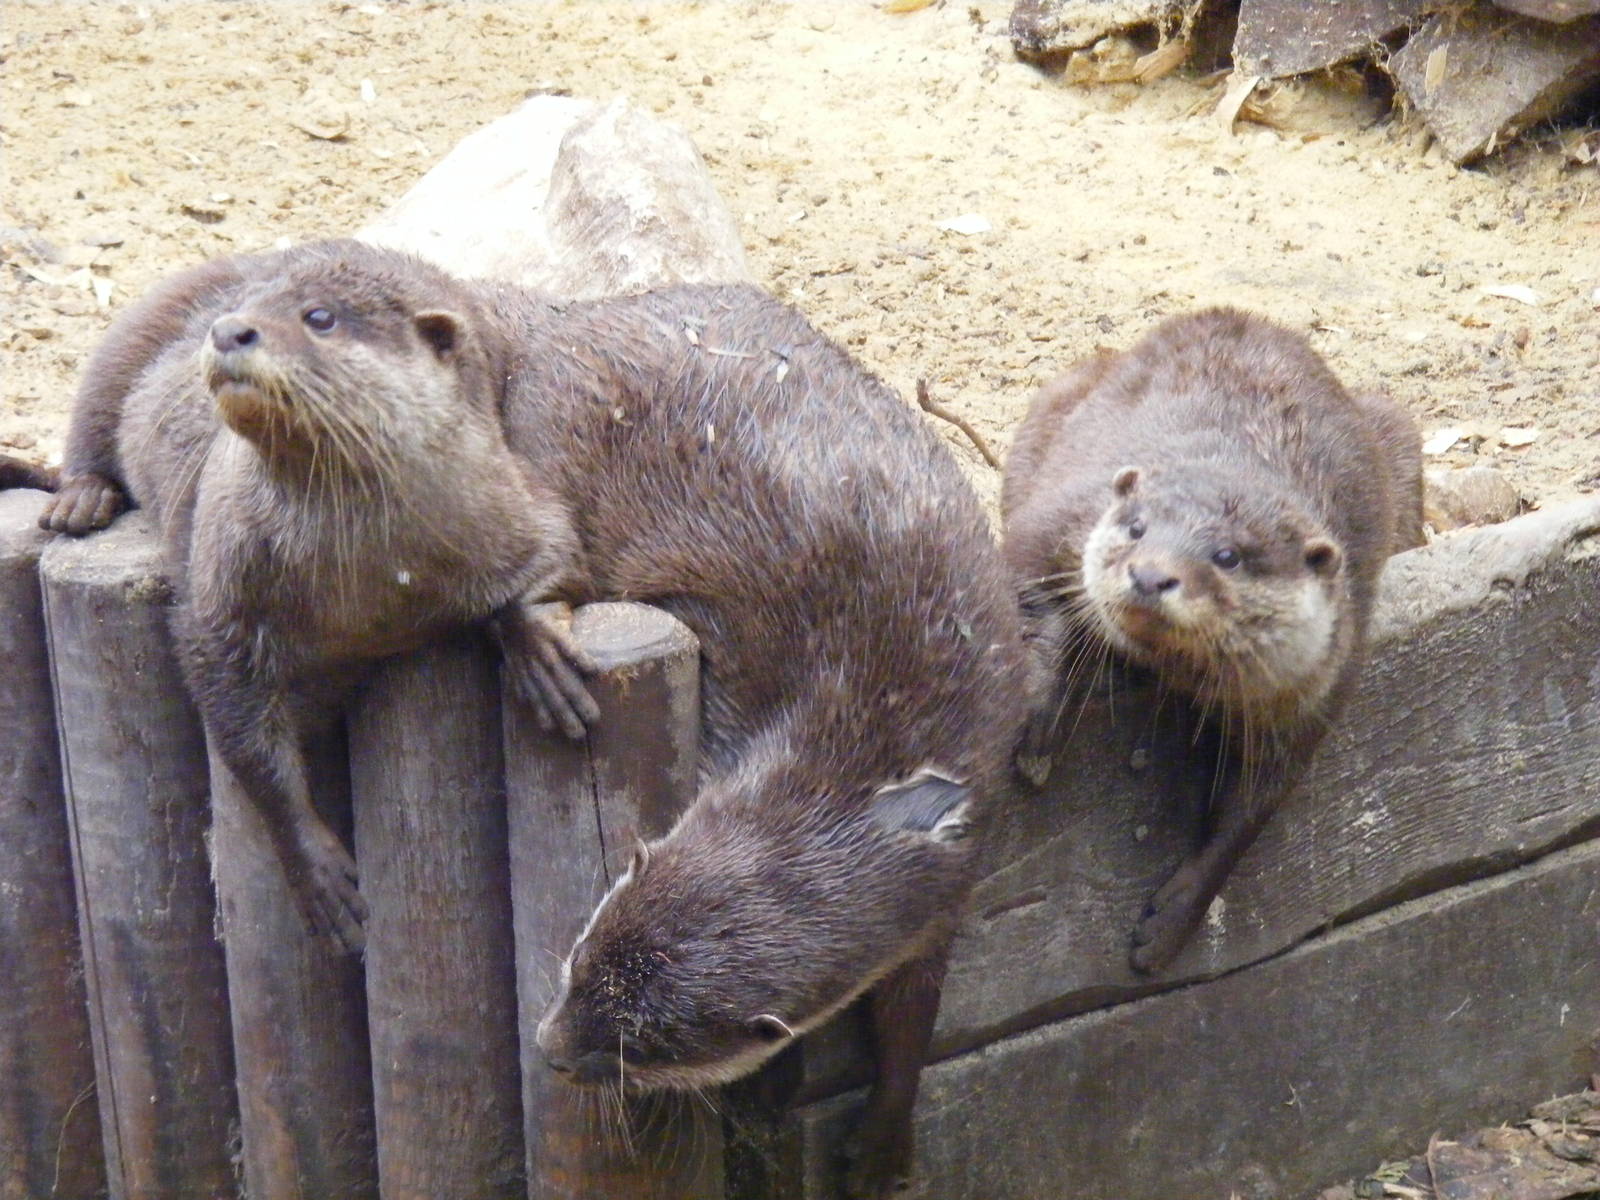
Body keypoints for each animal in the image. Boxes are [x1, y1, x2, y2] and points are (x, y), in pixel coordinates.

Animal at [41, 240, 599, 952]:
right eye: (247, 308)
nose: (229, 329)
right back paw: (80, 499)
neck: (370, 581)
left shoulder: (518, 500)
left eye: (320, 318)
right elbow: (240, 730)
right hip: (133, 333)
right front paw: (313, 867)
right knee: (92, 416)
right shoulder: (219, 592)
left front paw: (542, 657)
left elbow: (557, 551)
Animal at [496, 283, 1025, 1198]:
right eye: (579, 962)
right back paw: (543, 653)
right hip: (555, 436)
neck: (869, 777)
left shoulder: (945, 882)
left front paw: (882, 1146)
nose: (550, 1050)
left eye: (645, 1047)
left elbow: (914, 1016)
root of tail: (572, 319)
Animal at [1002, 308, 1423, 973]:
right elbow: (1024, 586)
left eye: (1228, 557)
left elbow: (1251, 809)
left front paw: (1171, 922)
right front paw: (1039, 718)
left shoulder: (1315, 686)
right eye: (1137, 527)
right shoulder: (1065, 513)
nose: (1150, 575)